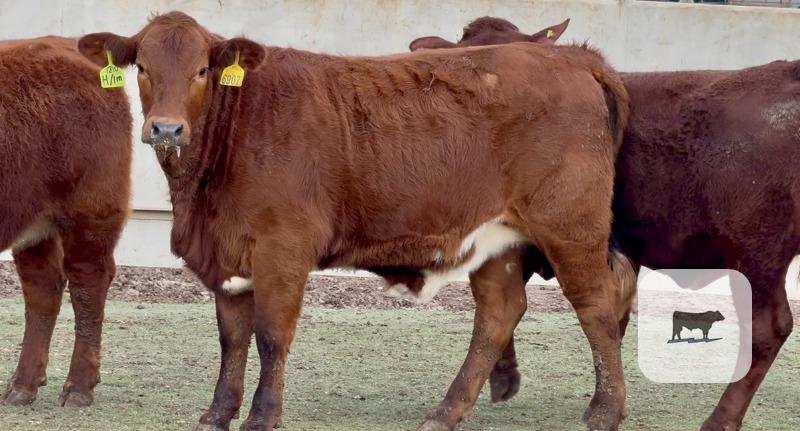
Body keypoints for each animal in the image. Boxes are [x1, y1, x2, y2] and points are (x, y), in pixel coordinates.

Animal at [0, 37, 132, 407]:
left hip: (90, 212)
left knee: (88, 284)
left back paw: (78, 387)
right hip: (34, 225)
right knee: (43, 288)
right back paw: (23, 385)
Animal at [78, 11, 631, 431]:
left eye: (200, 71)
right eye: (142, 67)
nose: (166, 129)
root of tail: (573, 57)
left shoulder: (282, 248)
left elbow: (271, 334)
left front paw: (262, 416)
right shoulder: (228, 256)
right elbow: (231, 337)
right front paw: (217, 415)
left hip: (570, 226)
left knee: (597, 303)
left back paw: (605, 411)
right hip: (497, 239)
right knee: (499, 313)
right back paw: (444, 413)